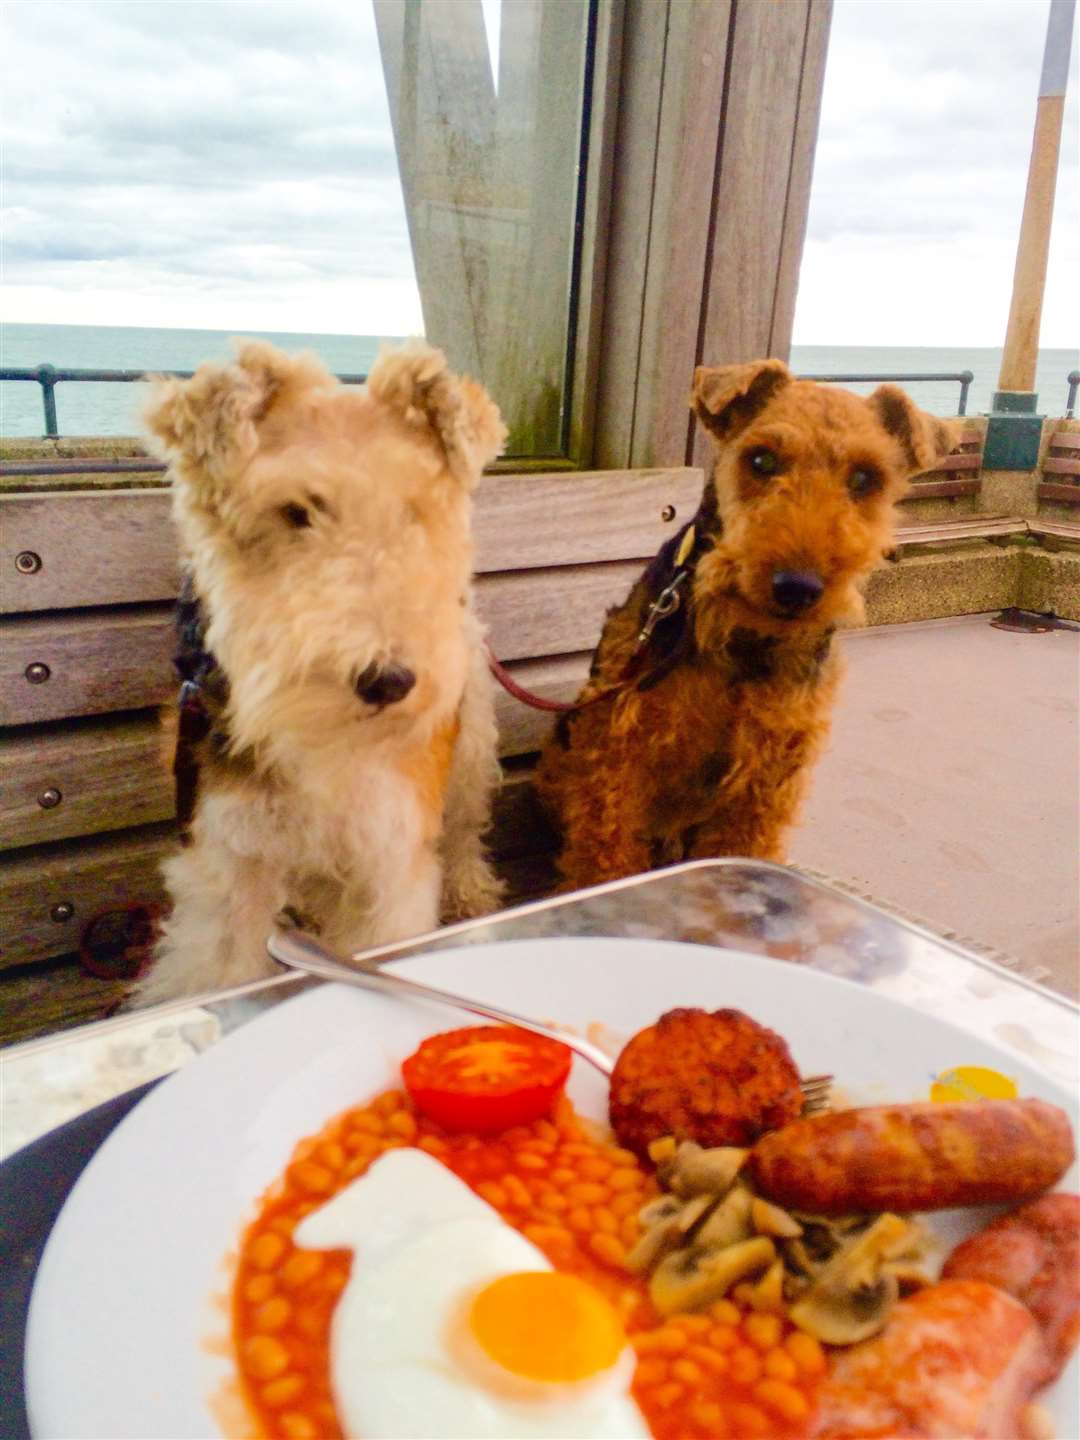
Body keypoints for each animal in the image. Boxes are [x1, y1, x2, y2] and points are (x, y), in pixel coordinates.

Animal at [538, 357, 961, 887]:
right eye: (761, 461)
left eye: (865, 479)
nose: (796, 587)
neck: (745, 643)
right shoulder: (617, 754)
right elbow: (604, 858)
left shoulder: (765, 772)